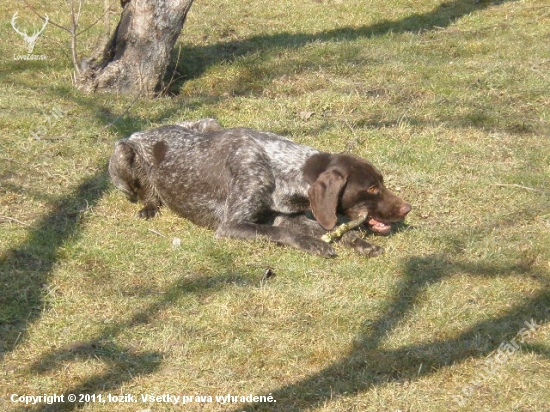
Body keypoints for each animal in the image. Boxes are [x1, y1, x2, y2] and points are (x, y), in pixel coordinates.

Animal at [108, 117, 412, 256]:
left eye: (381, 182)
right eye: (371, 188)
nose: (408, 208)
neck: (279, 166)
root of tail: (147, 130)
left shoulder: (287, 215)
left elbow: (335, 229)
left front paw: (361, 243)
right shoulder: (231, 226)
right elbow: (279, 232)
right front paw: (313, 244)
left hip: (210, 122)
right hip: (122, 152)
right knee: (145, 192)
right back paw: (149, 206)